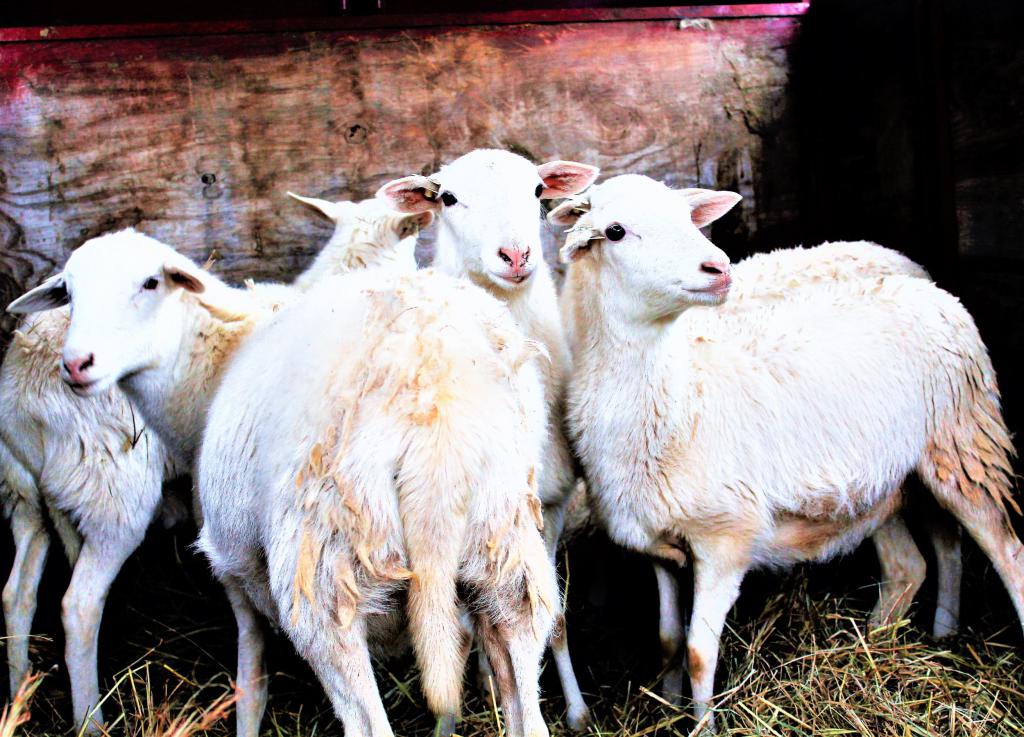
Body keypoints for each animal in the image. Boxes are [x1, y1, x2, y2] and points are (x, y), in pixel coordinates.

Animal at [197, 267, 557, 737]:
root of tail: (437, 421)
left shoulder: (234, 571)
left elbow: (250, 683)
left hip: (328, 572)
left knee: (365, 717)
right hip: (505, 545)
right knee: (522, 684)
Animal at [377, 149, 599, 730]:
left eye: (538, 190)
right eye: (448, 198)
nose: (516, 254)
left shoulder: (554, 504)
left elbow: (554, 617)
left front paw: (576, 711)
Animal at [550, 174, 1022, 731]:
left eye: (688, 219)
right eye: (616, 231)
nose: (717, 268)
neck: (678, 390)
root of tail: (931, 288)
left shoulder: (725, 539)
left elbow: (698, 652)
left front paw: (704, 726)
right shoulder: (657, 544)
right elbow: (667, 640)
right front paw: (667, 705)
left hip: (965, 442)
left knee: (1006, 554)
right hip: (885, 483)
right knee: (912, 566)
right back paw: (882, 645)